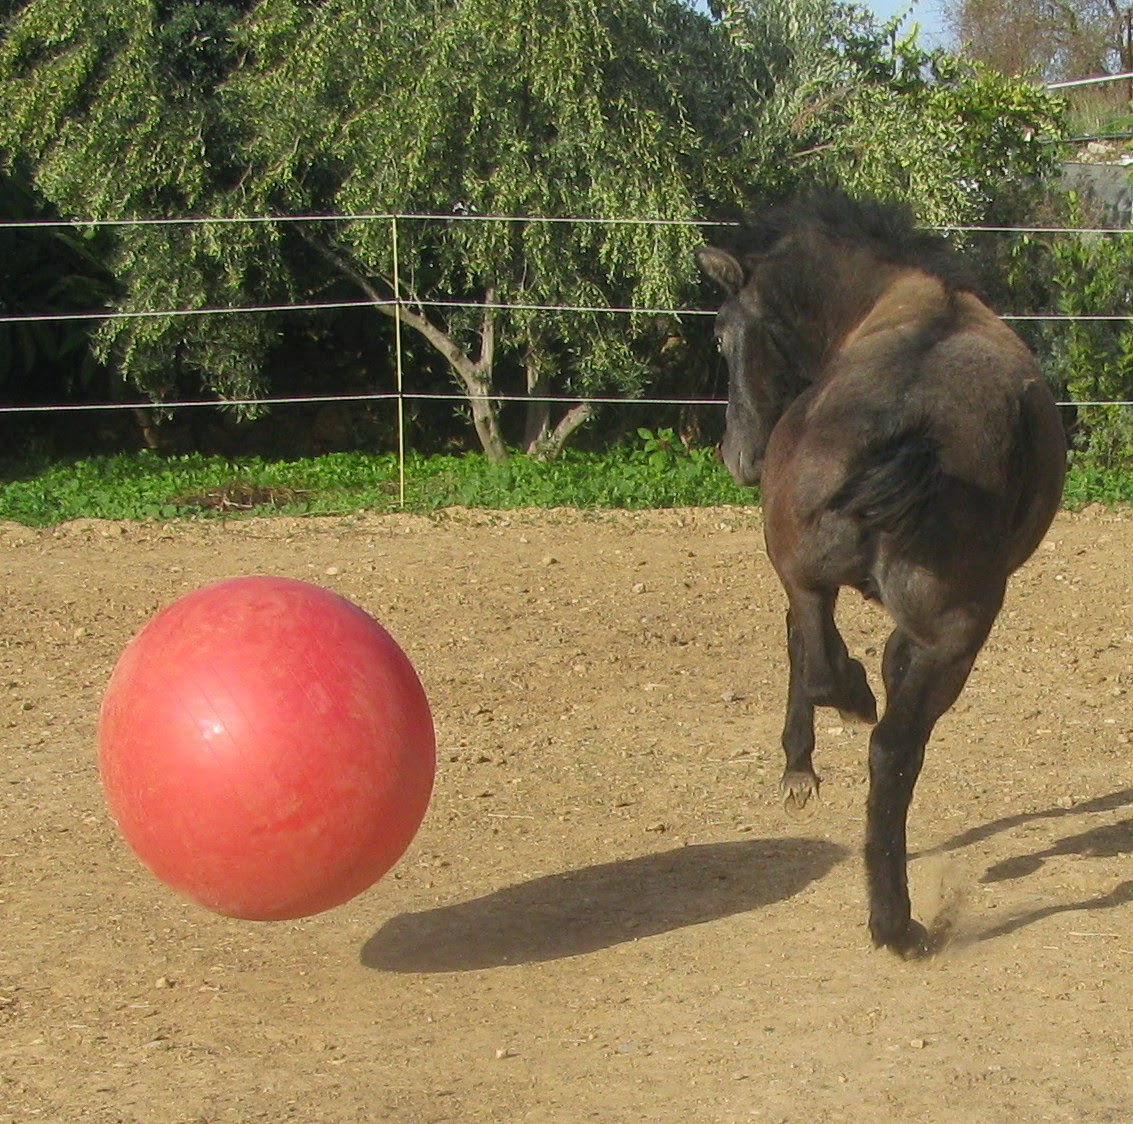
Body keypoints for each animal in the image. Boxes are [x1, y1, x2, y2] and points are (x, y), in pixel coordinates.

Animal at [693, 192, 1065, 956]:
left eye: (721, 337)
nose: (738, 457)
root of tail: (907, 427)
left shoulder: (814, 583)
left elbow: (809, 651)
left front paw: (800, 762)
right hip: (945, 636)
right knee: (888, 745)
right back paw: (893, 914)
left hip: (858, 596)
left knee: (861, 713)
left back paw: (891, 913)